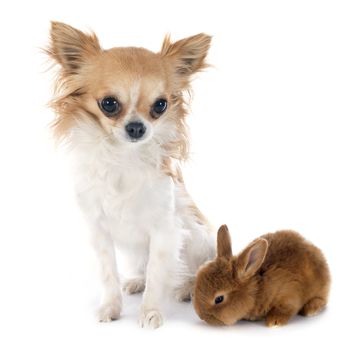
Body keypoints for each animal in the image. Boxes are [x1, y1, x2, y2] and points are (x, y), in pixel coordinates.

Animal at [193, 226, 330, 326]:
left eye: (219, 299)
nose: (202, 316)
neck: (257, 289)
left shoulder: (288, 294)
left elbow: (285, 309)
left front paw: (274, 322)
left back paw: (311, 309)